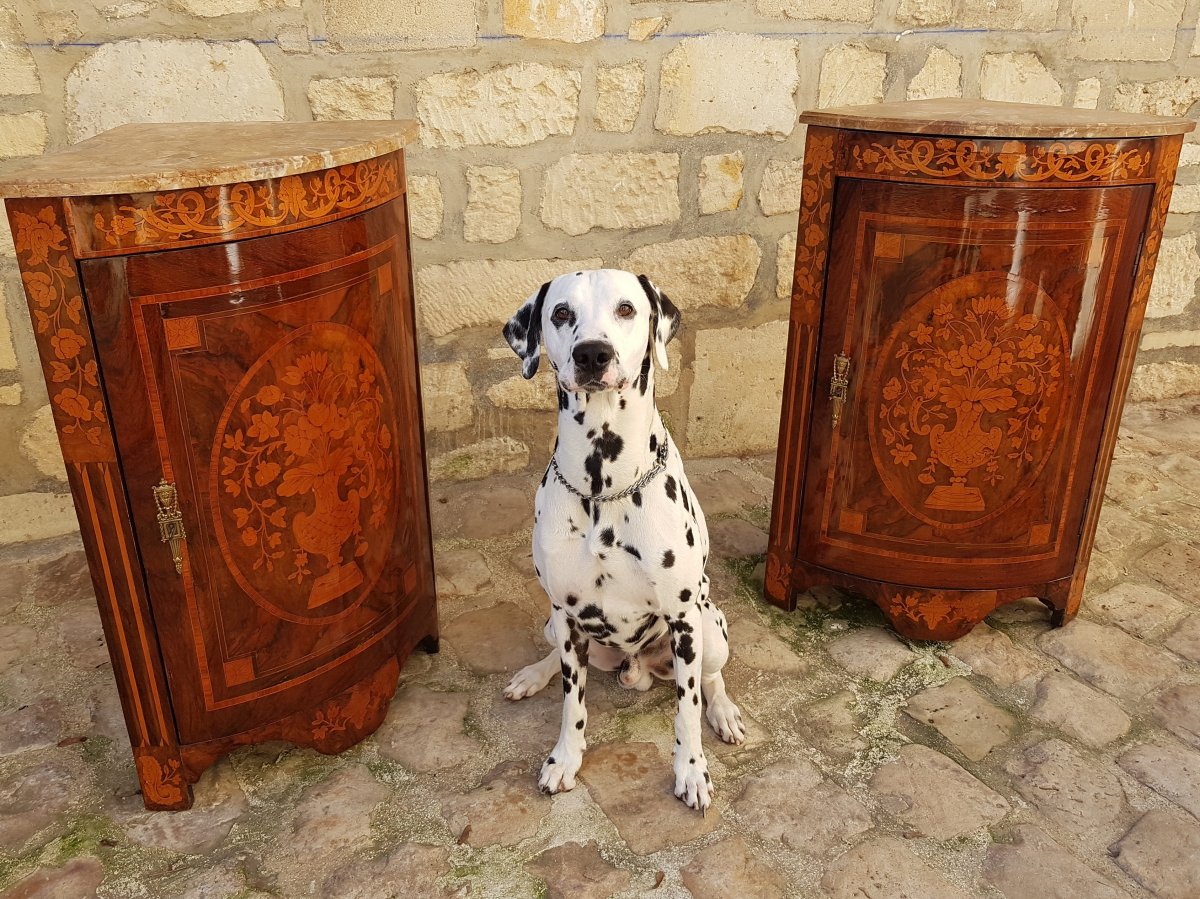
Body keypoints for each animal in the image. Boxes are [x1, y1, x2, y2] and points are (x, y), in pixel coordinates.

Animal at [496, 266, 739, 811]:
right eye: (561, 312)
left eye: (627, 308)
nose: (592, 354)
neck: (602, 485)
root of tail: (636, 667)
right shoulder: (567, 615)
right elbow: (572, 703)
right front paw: (564, 760)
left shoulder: (684, 620)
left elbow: (687, 709)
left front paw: (691, 771)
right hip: (554, 624)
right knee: (556, 656)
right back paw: (532, 675)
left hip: (711, 629)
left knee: (711, 679)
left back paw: (725, 712)